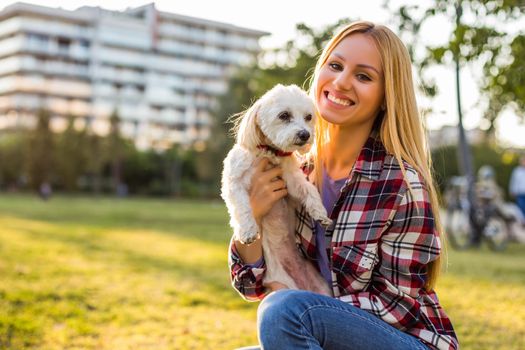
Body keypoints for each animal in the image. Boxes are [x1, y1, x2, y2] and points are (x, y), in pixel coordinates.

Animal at [221, 85, 332, 296]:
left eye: (308, 117)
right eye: (284, 115)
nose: (305, 134)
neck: (270, 153)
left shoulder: (292, 181)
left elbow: (309, 190)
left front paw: (320, 213)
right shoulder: (234, 182)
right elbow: (242, 207)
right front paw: (248, 231)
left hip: (322, 289)